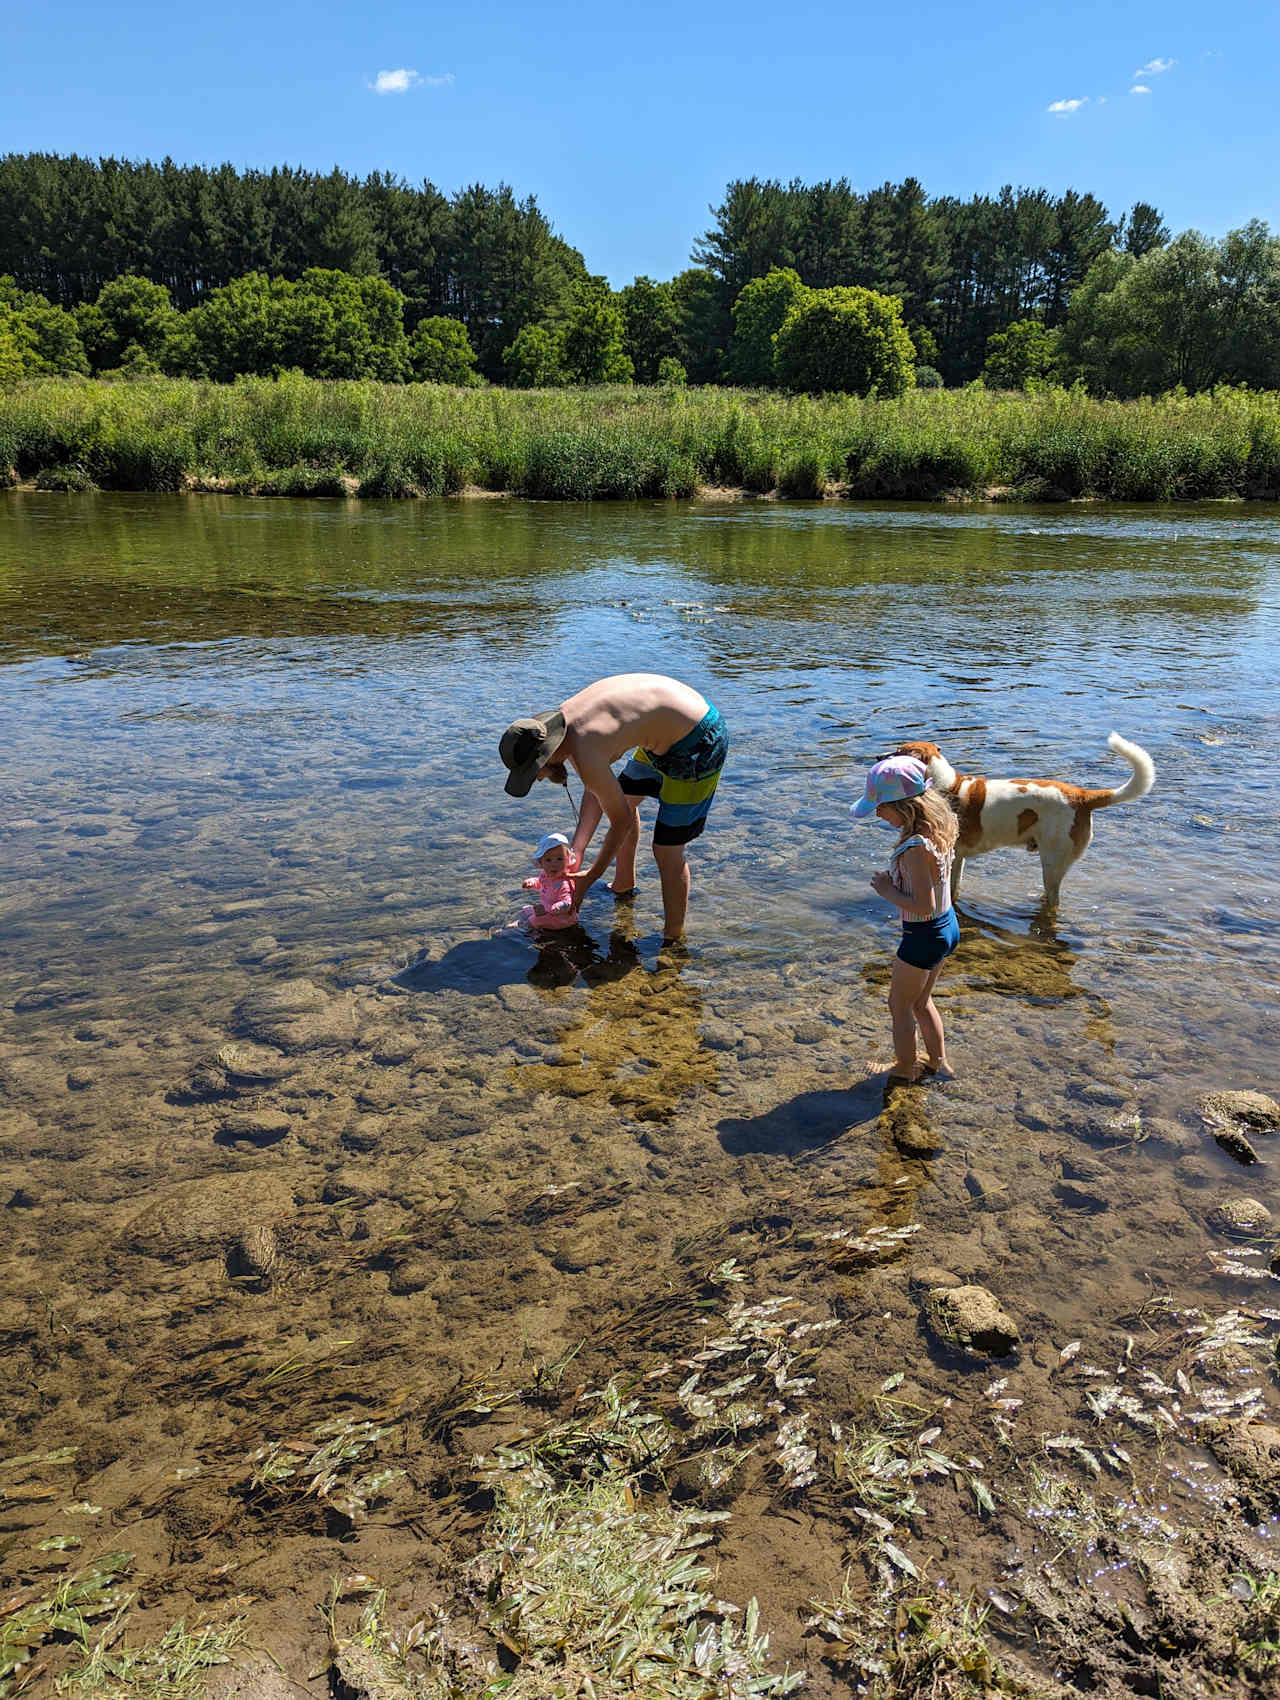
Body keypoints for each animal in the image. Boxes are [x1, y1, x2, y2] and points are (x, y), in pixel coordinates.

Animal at [890, 737, 1155, 911]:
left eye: (897, 752)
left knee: (1054, 897)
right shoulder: (958, 858)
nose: (880, 756)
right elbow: (954, 888)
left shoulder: (950, 856)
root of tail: (1082, 796)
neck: (945, 786)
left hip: (1052, 862)